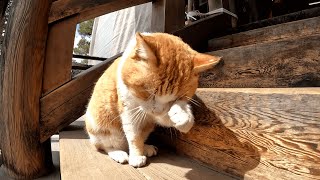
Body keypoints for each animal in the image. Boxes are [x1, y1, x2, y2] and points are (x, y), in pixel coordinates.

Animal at [84, 32, 221, 167]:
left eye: (176, 98)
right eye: (149, 93)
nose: (157, 111)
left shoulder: (155, 115)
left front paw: (182, 116)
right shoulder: (129, 111)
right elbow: (134, 137)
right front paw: (136, 156)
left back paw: (146, 147)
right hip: (101, 129)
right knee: (105, 146)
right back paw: (119, 153)